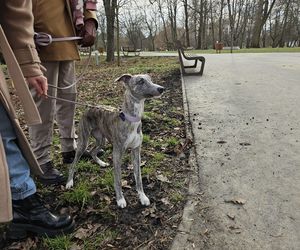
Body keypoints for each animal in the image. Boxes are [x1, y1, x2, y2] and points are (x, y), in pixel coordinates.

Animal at [65, 73, 165, 208]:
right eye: (140, 81)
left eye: (150, 79)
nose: (161, 89)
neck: (131, 119)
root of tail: (88, 107)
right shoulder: (117, 152)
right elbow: (117, 178)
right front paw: (120, 199)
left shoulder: (136, 150)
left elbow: (138, 177)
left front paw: (142, 197)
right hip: (83, 141)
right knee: (74, 163)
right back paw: (69, 182)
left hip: (101, 140)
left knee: (92, 151)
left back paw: (101, 163)